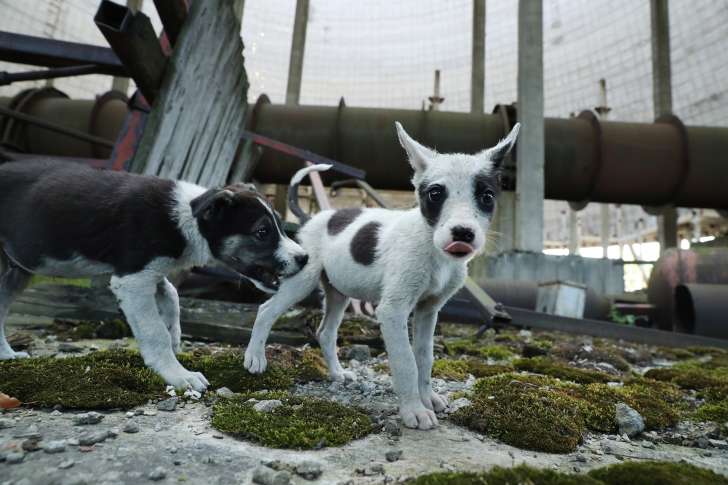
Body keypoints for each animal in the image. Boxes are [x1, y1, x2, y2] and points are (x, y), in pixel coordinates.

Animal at [0, 159, 308, 390]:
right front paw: (178, 374)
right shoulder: (132, 279)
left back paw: (7, 355)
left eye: (280, 226)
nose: (304, 258)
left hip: (15, 270)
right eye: (262, 232)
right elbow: (153, 331)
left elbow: (171, 295)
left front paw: (175, 336)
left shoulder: (151, 270)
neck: (188, 218)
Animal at [247, 121, 520, 428]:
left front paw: (428, 398)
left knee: (326, 332)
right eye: (435, 194)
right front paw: (414, 410)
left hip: (338, 292)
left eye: (486, 196)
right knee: (266, 310)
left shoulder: (429, 310)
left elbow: (424, 358)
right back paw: (255, 357)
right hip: (302, 280)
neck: (433, 250)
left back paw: (337, 374)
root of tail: (312, 218)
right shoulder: (393, 310)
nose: (462, 233)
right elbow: (406, 362)